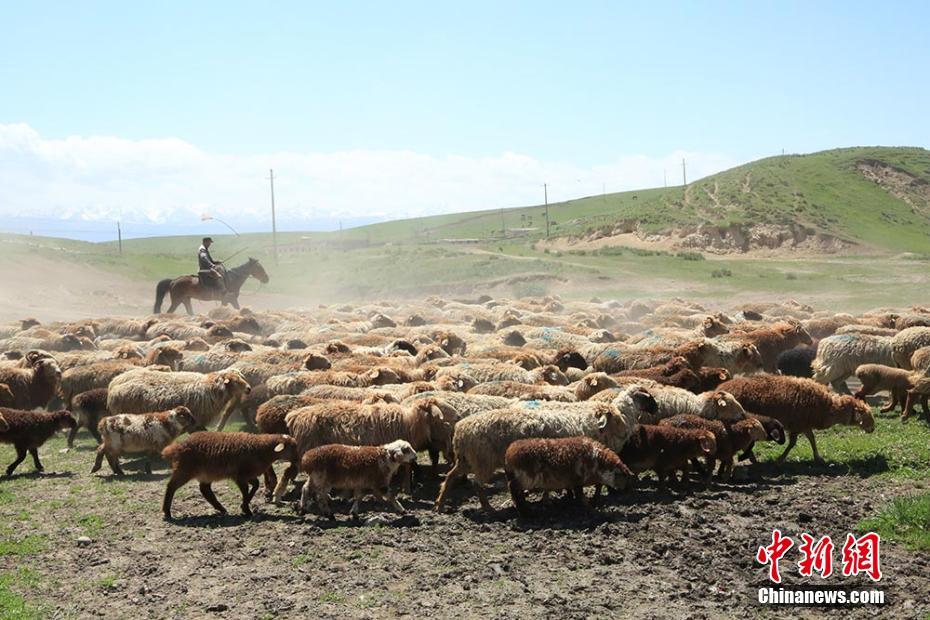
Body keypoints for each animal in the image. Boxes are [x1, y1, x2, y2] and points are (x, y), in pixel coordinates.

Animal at [107, 368, 252, 432]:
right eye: (235, 381)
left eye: (242, 377)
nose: (249, 389)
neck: (210, 388)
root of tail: (113, 385)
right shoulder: (196, 420)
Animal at [161, 434, 300, 520]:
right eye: (292, 447)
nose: (298, 460)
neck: (262, 449)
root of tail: (177, 447)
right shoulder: (240, 476)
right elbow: (245, 491)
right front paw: (246, 510)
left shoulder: (247, 475)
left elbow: (255, 485)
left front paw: (244, 507)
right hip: (184, 470)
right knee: (171, 486)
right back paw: (167, 512)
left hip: (205, 474)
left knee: (205, 489)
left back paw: (221, 509)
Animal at [504, 434, 636, 516]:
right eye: (626, 478)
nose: (629, 493)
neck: (598, 461)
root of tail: (509, 454)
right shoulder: (577, 481)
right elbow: (580, 495)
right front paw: (588, 507)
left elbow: (594, 488)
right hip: (523, 478)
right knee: (513, 490)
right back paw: (525, 512)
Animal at [716, 372, 872, 464]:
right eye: (864, 414)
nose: (872, 429)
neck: (828, 408)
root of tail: (720, 389)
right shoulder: (797, 424)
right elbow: (792, 443)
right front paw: (780, 459)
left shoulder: (804, 425)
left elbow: (812, 440)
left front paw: (818, 457)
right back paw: (752, 460)